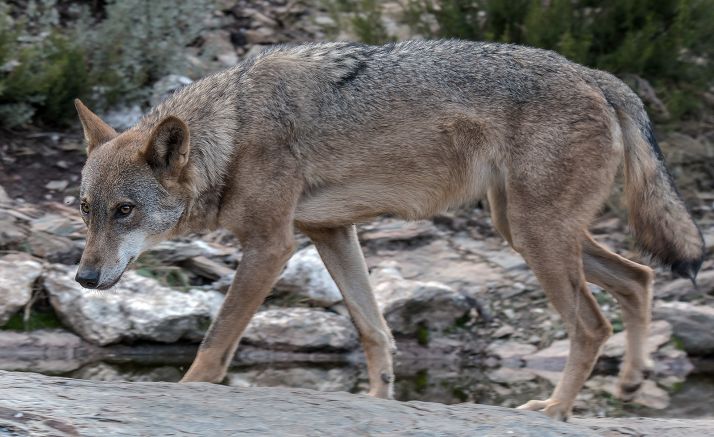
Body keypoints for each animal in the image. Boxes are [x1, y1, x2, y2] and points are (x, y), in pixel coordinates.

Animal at [74, 40, 704, 420]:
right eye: (84, 209)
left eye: (124, 211)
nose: (83, 278)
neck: (233, 131)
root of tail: (598, 75)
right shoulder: (331, 233)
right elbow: (375, 331)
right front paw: (381, 400)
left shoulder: (272, 247)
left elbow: (216, 341)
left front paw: (186, 393)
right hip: (526, 230)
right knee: (640, 278)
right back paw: (629, 383)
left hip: (536, 236)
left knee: (593, 324)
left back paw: (553, 410)